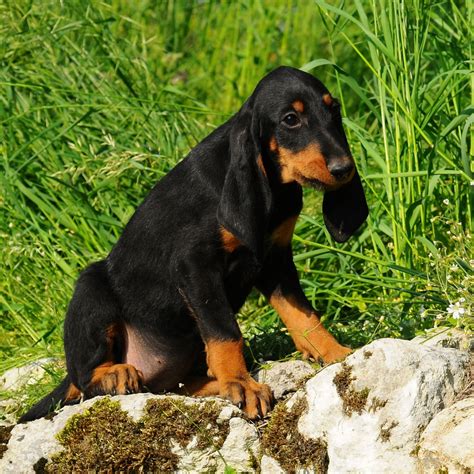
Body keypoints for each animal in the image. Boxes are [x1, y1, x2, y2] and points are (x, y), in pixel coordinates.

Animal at [21, 66, 366, 422]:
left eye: (334, 110)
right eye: (290, 119)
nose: (344, 169)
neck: (275, 187)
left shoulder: (275, 259)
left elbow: (304, 314)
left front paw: (335, 353)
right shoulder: (195, 265)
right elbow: (225, 331)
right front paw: (241, 383)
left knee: (170, 385)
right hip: (91, 289)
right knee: (83, 378)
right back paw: (114, 374)